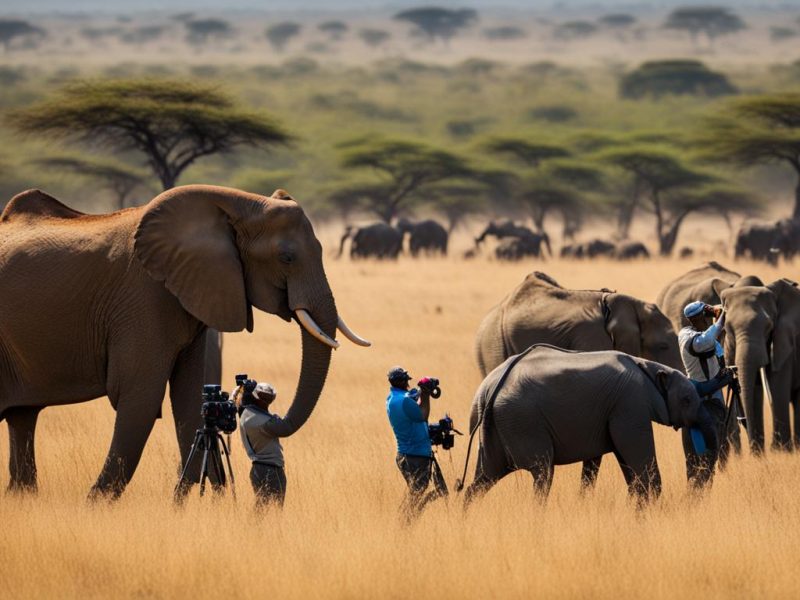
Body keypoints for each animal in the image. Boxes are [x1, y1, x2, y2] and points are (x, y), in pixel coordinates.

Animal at [0, 185, 368, 500]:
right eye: (287, 257)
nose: (263, 409)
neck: (236, 204)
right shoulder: (144, 298)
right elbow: (142, 398)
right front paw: (94, 505)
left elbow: (191, 399)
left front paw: (204, 501)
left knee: (22, 417)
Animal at [462, 344, 720, 504]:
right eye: (687, 400)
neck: (648, 366)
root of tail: (489, 389)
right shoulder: (630, 406)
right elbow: (639, 459)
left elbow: (622, 462)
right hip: (522, 422)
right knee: (542, 475)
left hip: (496, 426)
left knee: (483, 479)